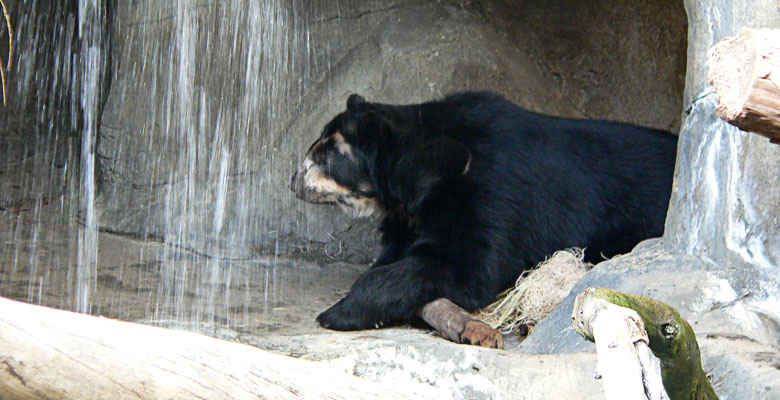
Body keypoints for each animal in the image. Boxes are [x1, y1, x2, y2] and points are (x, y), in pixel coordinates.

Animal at [290, 91, 677, 331]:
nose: (294, 182)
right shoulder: (413, 214)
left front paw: (338, 312)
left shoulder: (493, 189)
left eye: (325, 157)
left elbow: (469, 265)